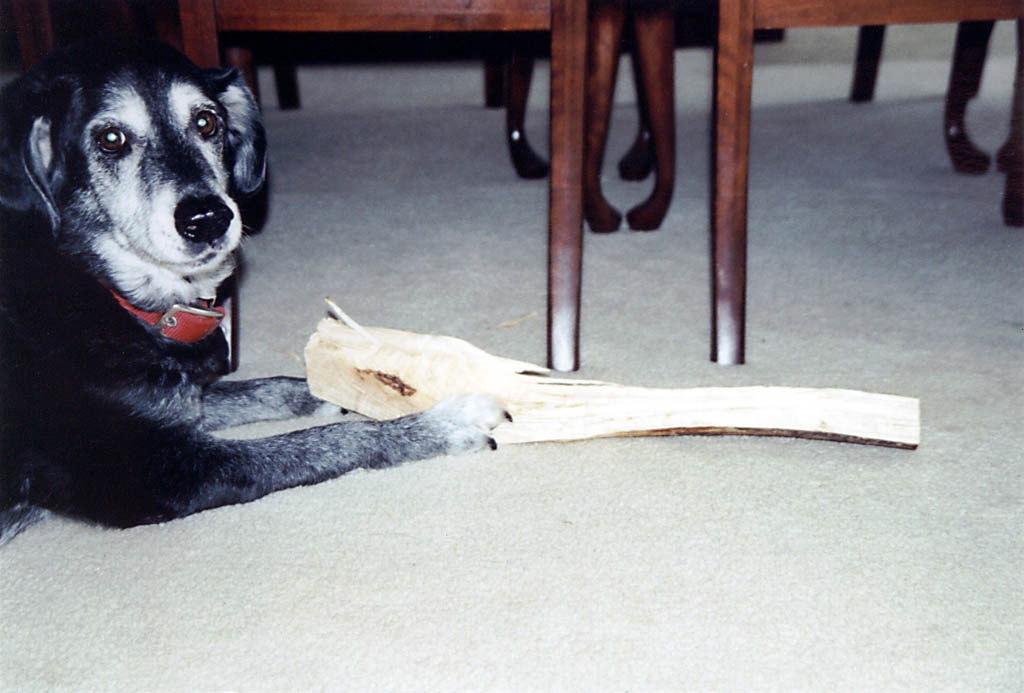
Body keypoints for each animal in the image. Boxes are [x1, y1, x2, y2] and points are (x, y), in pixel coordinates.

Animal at [2, 37, 505, 544]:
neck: (103, 288)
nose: (208, 218)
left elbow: (266, 387)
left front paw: (329, 389)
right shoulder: (152, 474)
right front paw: (439, 424)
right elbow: (319, 443)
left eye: (207, 122)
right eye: (110, 139)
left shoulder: (177, 405)